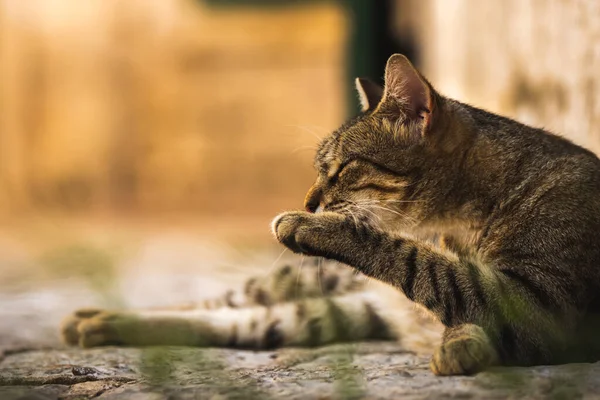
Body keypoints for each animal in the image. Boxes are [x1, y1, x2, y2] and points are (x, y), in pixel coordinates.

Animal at [59, 54, 600, 376]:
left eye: (339, 170)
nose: (307, 203)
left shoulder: (536, 302)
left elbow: (422, 264)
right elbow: (431, 267)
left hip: (320, 313)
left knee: (229, 321)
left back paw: (100, 323)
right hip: (307, 287)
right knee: (216, 304)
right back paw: (90, 318)